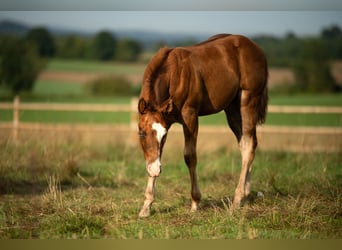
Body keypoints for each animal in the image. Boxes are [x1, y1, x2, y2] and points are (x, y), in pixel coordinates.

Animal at [136, 33, 268, 217]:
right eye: (141, 133)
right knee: (247, 144)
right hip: (232, 109)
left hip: (248, 100)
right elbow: (157, 154)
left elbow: (190, 156)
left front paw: (195, 202)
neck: (173, 74)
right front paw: (146, 206)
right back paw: (246, 192)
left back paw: (236, 199)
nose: (155, 170)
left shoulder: (190, 116)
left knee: (248, 145)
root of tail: (258, 49)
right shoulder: (165, 122)